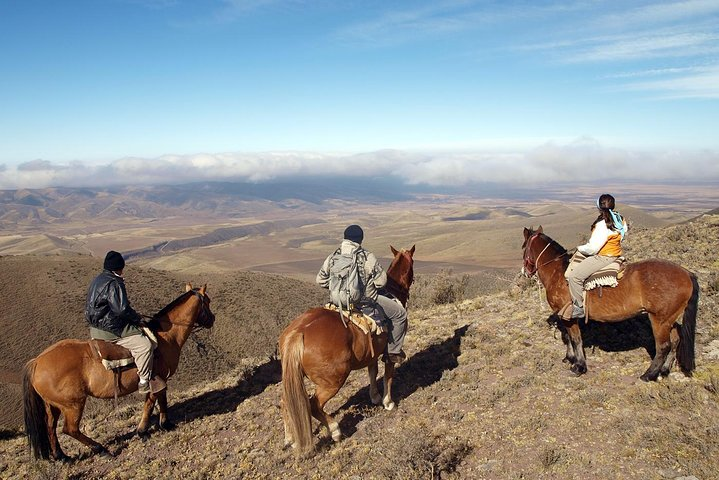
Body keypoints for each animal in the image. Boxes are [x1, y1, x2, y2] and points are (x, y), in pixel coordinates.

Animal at [23, 284, 214, 460]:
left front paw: (162, 425)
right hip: (73, 404)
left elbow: (160, 400)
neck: (165, 337)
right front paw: (145, 430)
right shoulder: (155, 379)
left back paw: (61, 456)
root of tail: (37, 362)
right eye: (208, 302)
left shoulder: (160, 379)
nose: (212, 319)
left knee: (50, 426)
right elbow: (152, 402)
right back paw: (101, 449)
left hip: (53, 405)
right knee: (70, 429)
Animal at [282, 246, 416, 456]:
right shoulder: (388, 354)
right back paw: (335, 431)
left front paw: (375, 397)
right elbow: (388, 375)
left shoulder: (372, 354)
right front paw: (388, 402)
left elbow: (372, 372)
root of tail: (298, 332)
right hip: (333, 381)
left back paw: (290, 439)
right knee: (314, 404)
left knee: (285, 402)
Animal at [524, 227, 696, 380]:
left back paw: (649, 375)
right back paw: (664, 370)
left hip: (659, 320)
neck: (558, 273)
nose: (525, 272)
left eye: (524, 247)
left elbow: (575, 338)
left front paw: (579, 366)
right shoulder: (563, 315)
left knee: (663, 346)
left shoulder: (568, 315)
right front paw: (570, 358)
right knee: (675, 340)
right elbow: (568, 337)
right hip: (669, 319)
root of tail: (686, 273)